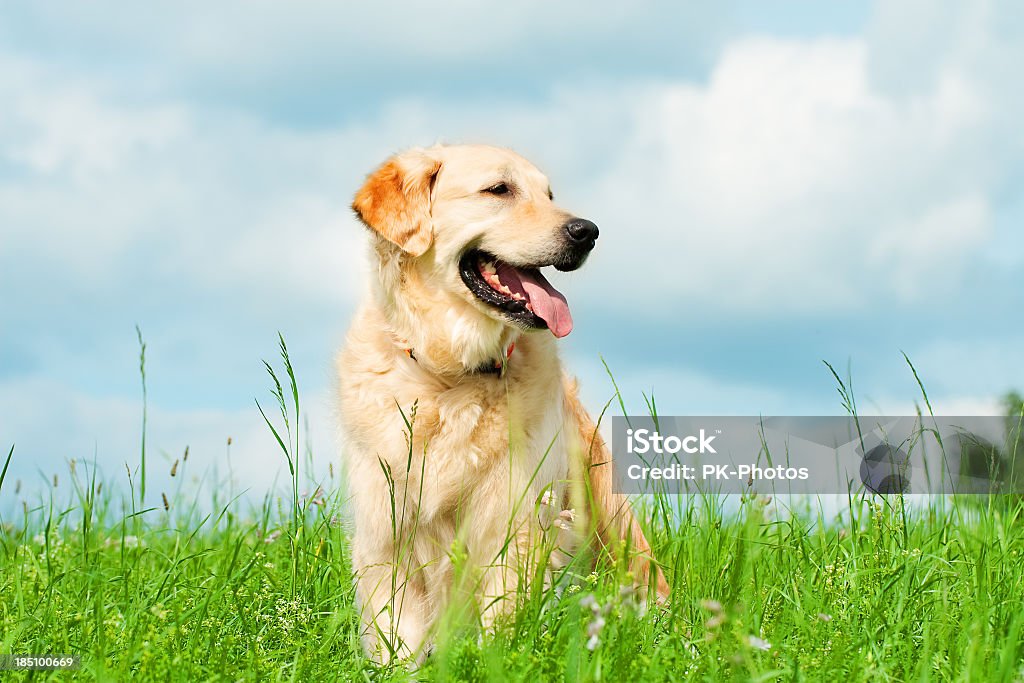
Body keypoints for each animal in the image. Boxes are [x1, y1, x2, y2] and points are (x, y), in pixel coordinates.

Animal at [339, 144, 667, 663]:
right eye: (499, 190)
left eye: (549, 195)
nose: (587, 232)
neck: (450, 378)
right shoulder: (385, 533)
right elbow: (398, 636)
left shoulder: (512, 526)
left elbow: (501, 621)